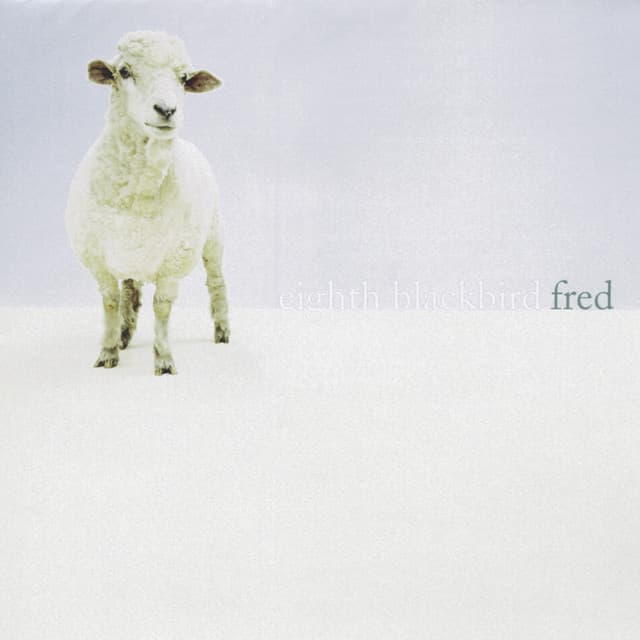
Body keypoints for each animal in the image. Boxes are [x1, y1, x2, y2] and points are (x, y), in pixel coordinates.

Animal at [65, 31, 229, 375]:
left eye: (184, 78)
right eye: (124, 72)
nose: (167, 110)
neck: (136, 193)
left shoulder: (172, 262)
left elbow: (162, 309)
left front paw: (164, 361)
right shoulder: (99, 260)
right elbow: (111, 303)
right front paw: (108, 352)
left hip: (213, 236)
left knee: (216, 281)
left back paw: (223, 332)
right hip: (132, 254)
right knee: (130, 291)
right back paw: (124, 335)